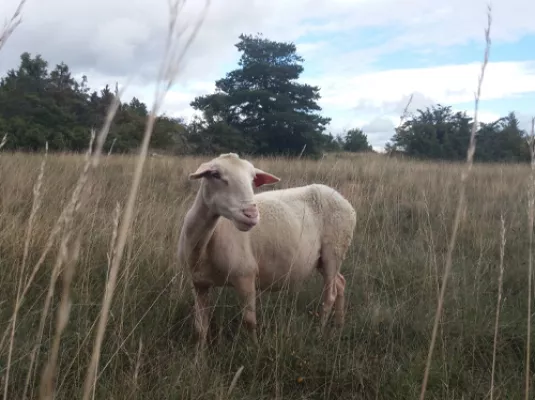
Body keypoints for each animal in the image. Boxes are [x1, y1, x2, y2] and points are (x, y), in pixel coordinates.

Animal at [178, 152, 358, 348]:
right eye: (215, 175)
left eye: (252, 179)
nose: (251, 214)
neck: (204, 244)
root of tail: (344, 201)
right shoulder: (199, 284)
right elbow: (200, 327)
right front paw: (199, 354)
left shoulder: (245, 275)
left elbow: (249, 321)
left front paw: (254, 348)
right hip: (323, 259)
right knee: (340, 283)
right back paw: (338, 327)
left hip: (334, 250)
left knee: (330, 294)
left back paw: (319, 332)